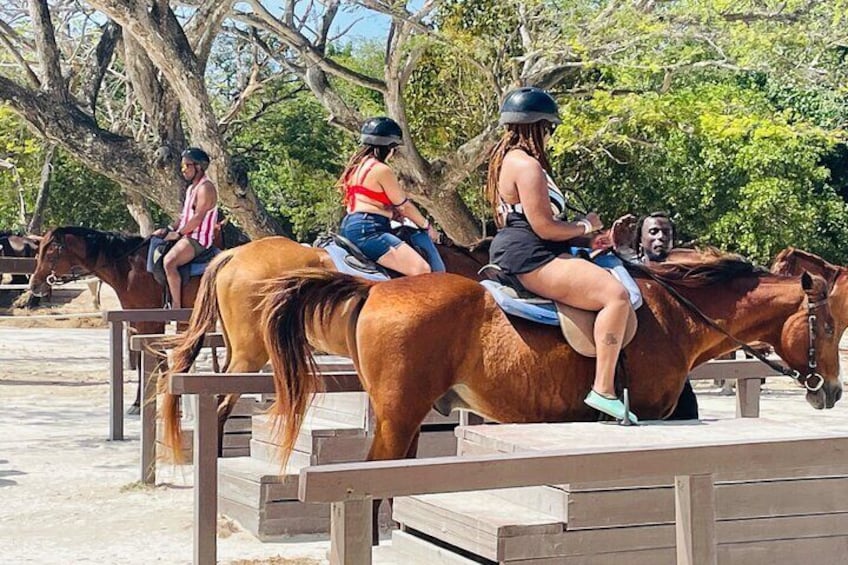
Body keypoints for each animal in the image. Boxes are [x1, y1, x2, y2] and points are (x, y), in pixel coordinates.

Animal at [262, 252, 844, 472]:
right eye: (831, 326)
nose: (832, 391)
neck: (677, 313)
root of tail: (374, 289)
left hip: (404, 419)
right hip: (398, 416)